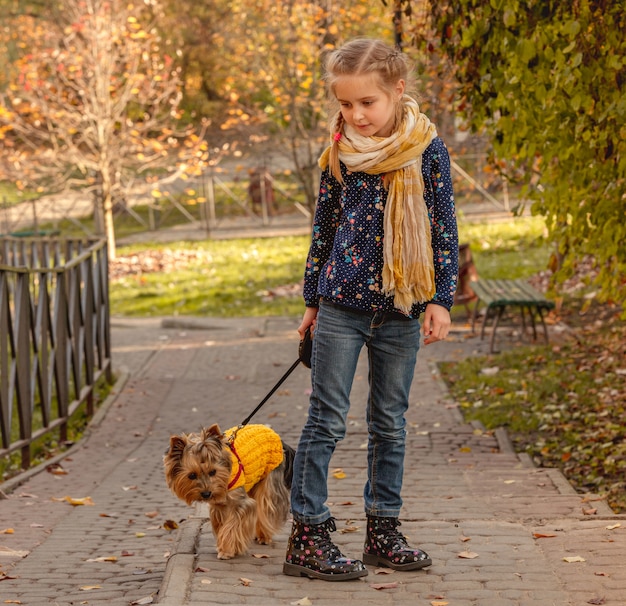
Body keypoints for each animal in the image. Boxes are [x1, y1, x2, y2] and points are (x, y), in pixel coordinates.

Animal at [165, 422, 294, 560]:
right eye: (192, 475)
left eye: (213, 472)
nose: (206, 494)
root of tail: (273, 433)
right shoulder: (218, 505)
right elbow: (223, 526)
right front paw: (224, 546)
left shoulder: (241, 504)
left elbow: (232, 527)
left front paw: (226, 550)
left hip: (270, 477)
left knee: (266, 505)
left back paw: (264, 536)